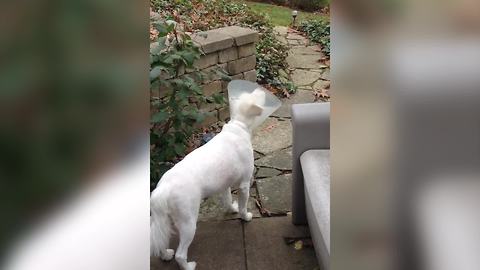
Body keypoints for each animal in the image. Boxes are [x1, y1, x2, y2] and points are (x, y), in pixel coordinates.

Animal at [151, 87, 266, 268]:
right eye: (256, 96)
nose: (261, 88)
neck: (238, 126)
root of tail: (163, 188)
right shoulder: (244, 184)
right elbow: (243, 205)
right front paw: (245, 216)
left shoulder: (225, 185)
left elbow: (227, 201)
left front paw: (231, 209)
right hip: (188, 222)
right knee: (180, 254)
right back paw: (188, 266)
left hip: (164, 219)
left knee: (161, 243)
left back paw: (166, 255)